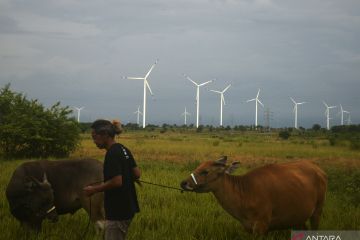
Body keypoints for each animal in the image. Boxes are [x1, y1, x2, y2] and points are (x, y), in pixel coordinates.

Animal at [180, 157, 326, 233]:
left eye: (205, 171)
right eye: (198, 166)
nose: (184, 182)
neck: (246, 192)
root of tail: (319, 169)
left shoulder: (261, 225)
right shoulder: (248, 228)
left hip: (317, 212)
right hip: (299, 216)